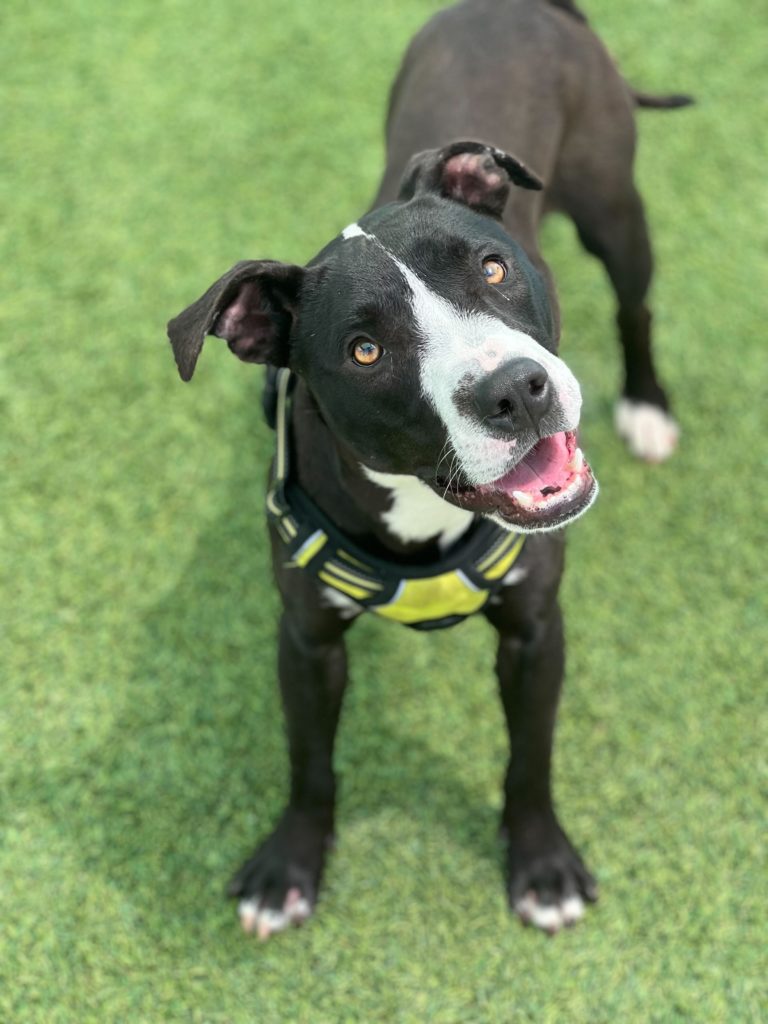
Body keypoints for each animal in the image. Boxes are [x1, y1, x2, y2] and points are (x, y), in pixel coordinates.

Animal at [167, 0, 692, 937]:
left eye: (494, 265)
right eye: (365, 350)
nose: (515, 390)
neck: (420, 508)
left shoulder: (534, 630)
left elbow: (530, 757)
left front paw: (542, 865)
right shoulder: (305, 640)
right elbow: (309, 760)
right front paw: (289, 865)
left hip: (614, 208)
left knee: (635, 305)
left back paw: (648, 406)